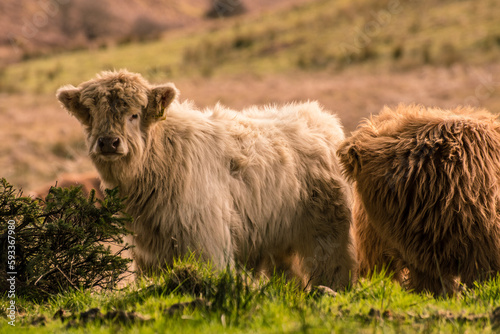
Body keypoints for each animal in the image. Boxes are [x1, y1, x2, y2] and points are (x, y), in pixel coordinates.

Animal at [56, 70, 358, 290]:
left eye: (134, 114)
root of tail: (317, 115)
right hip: (278, 239)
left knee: (333, 269)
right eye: (91, 116)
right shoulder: (148, 255)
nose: (108, 142)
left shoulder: (207, 241)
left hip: (328, 233)